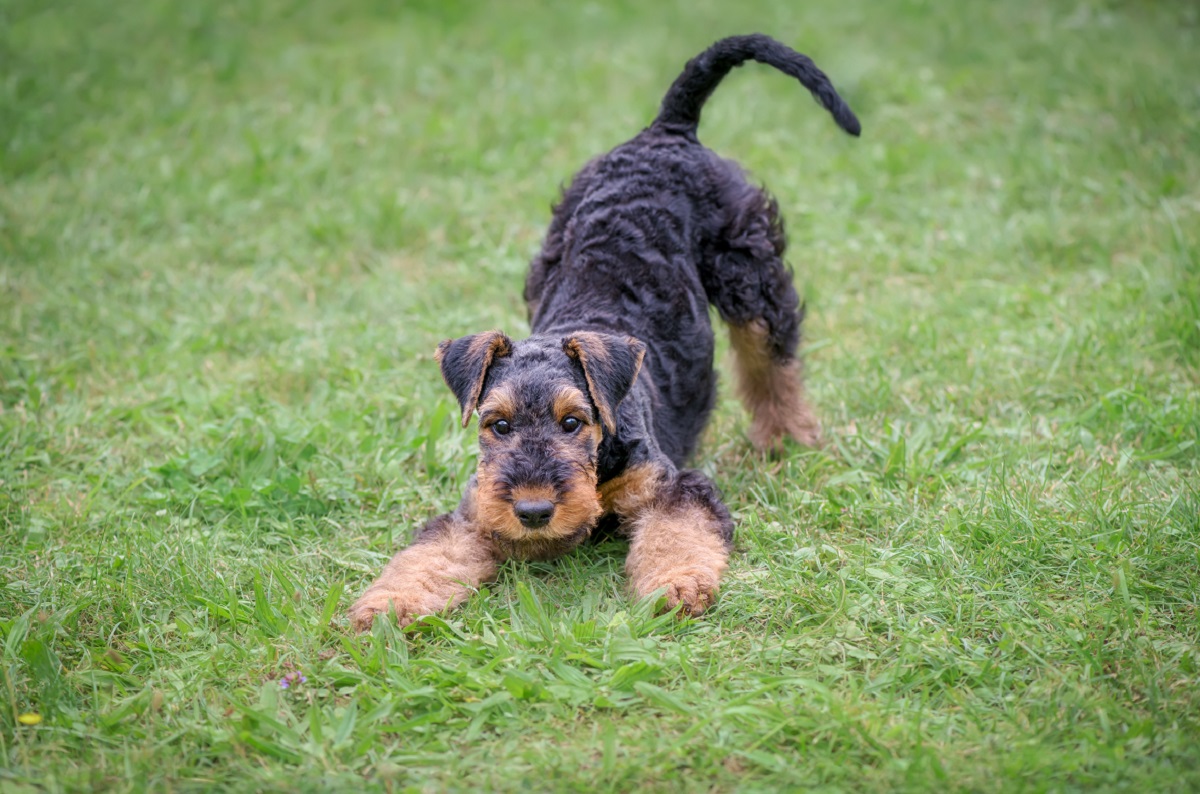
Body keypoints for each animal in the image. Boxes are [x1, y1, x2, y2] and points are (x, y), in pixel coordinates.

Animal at [350, 32, 859, 633]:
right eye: (497, 425)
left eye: (573, 422)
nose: (533, 512)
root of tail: (665, 131)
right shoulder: (473, 513)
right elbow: (430, 554)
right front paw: (388, 605)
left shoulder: (673, 488)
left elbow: (674, 537)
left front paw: (676, 586)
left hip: (750, 273)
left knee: (772, 361)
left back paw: (785, 438)